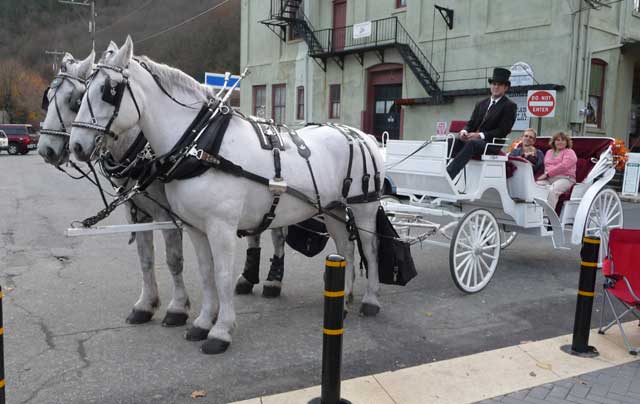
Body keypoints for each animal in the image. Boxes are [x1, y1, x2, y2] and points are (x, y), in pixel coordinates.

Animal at [71, 38, 380, 354]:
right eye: (82, 93)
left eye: (109, 91)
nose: (76, 146)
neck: (199, 145)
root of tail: (362, 135)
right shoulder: (195, 227)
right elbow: (207, 274)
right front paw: (202, 322)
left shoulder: (221, 227)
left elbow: (222, 275)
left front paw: (221, 331)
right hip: (334, 210)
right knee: (346, 251)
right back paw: (343, 301)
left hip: (364, 208)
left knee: (370, 249)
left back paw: (369, 301)